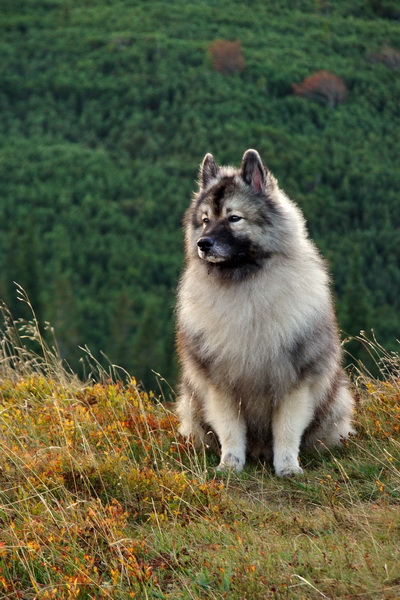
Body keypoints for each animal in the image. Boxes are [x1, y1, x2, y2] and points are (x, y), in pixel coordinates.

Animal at [175, 151, 354, 478]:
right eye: (205, 220)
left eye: (234, 218)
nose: (202, 244)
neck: (245, 285)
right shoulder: (221, 385)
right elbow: (231, 431)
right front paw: (229, 465)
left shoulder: (294, 384)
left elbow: (287, 430)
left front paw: (288, 467)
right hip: (191, 400)